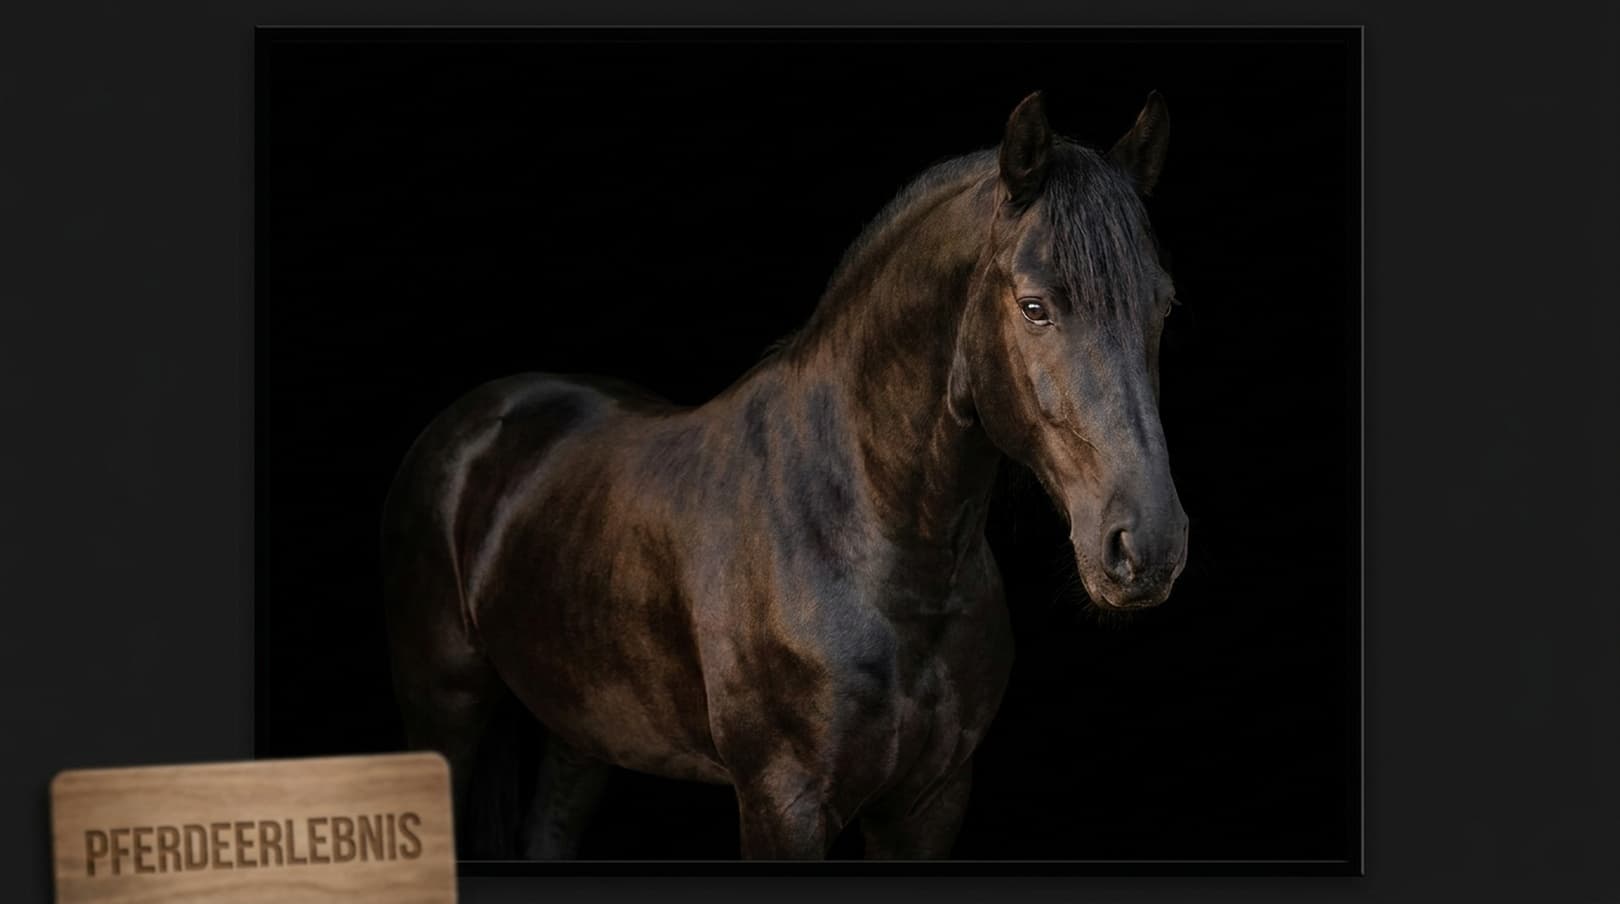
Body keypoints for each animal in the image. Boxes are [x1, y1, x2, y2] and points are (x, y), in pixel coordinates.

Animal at [381, 90, 1189, 861]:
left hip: (582, 728)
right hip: (444, 709)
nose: (1148, 546)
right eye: (1034, 306)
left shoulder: (929, 803)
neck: (869, 541)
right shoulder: (783, 802)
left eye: (1163, 304)